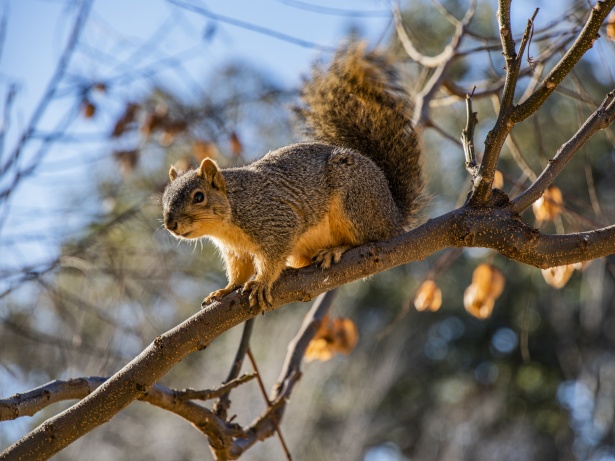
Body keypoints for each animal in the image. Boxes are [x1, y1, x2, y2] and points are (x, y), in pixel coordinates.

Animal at [161, 44, 426, 310]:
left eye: (198, 197)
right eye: (164, 199)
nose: (170, 224)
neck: (229, 217)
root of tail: (393, 215)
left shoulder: (277, 221)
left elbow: (272, 257)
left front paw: (261, 282)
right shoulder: (236, 251)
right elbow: (238, 273)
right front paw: (225, 290)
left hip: (355, 203)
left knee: (367, 238)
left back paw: (337, 249)